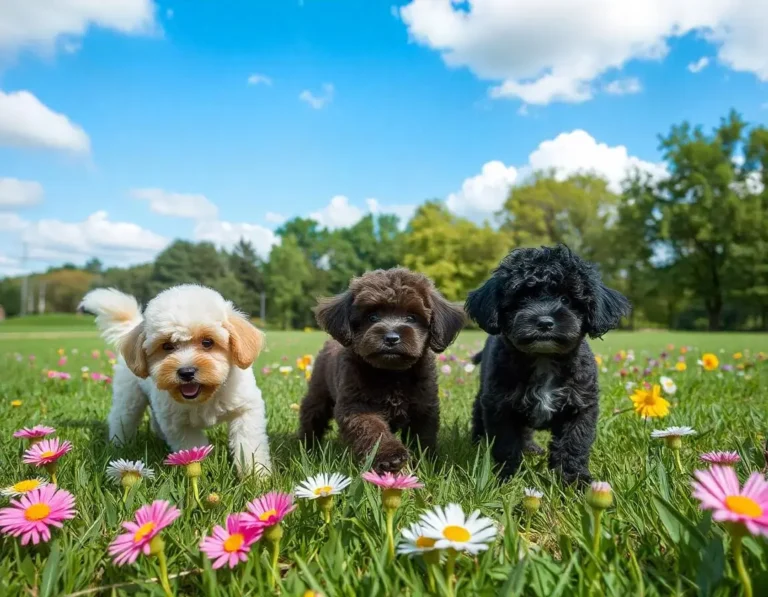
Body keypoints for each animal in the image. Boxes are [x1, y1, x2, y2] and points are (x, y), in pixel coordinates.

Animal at [80, 282, 272, 474]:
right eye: (167, 346)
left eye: (208, 342)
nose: (186, 372)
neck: (205, 397)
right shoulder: (177, 424)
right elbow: (192, 446)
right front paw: (201, 468)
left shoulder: (246, 408)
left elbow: (249, 445)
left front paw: (256, 474)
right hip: (129, 397)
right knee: (121, 419)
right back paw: (118, 445)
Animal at [296, 268, 464, 470]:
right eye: (372, 317)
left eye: (412, 317)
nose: (391, 338)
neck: (392, 375)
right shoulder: (357, 406)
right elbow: (374, 430)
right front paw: (390, 455)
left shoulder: (424, 408)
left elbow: (423, 438)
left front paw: (427, 464)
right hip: (318, 394)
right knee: (312, 416)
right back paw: (307, 447)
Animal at [468, 244, 632, 482]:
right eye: (522, 299)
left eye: (566, 300)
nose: (544, 322)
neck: (543, 358)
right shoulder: (500, 406)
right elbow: (506, 445)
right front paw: (506, 478)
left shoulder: (580, 408)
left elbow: (573, 445)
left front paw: (575, 481)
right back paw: (478, 444)